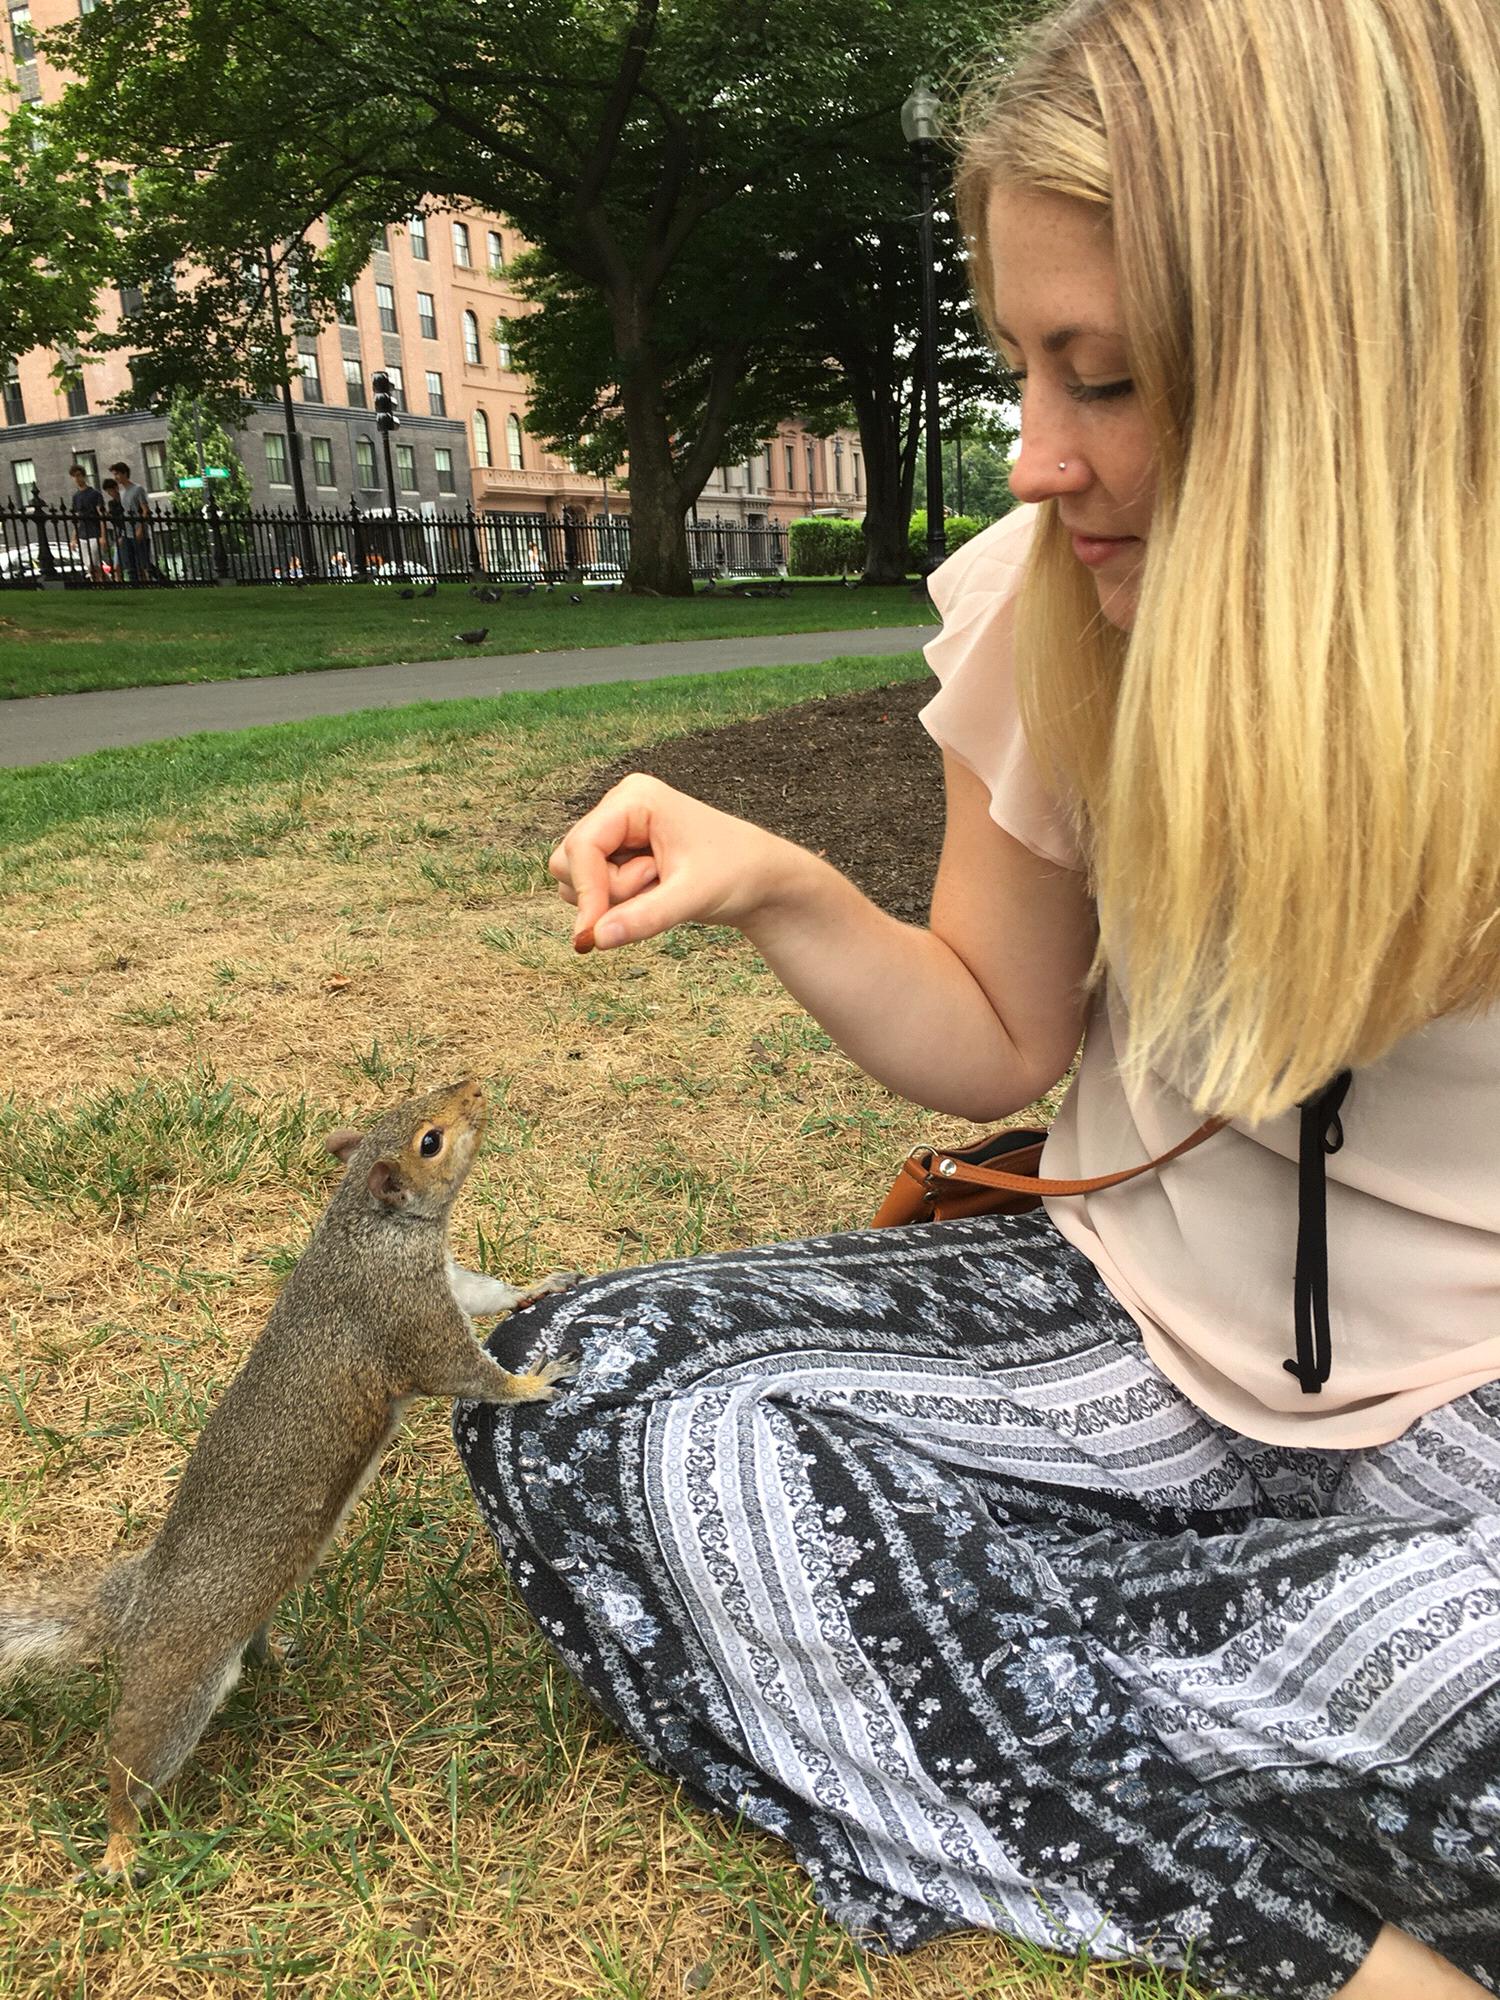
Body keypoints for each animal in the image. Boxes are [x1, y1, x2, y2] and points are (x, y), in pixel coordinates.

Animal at [0, 1077, 581, 1881]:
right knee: (135, 1757)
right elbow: (466, 1373)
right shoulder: (407, 1316)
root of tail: (137, 1602)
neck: (365, 1233)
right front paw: (533, 1381)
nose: (473, 1087)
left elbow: (488, 1293)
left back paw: (277, 1656)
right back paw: (119, 1843)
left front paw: (540, 1284)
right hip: (181, 1673)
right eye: (430, 1140)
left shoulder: (445, 1281)